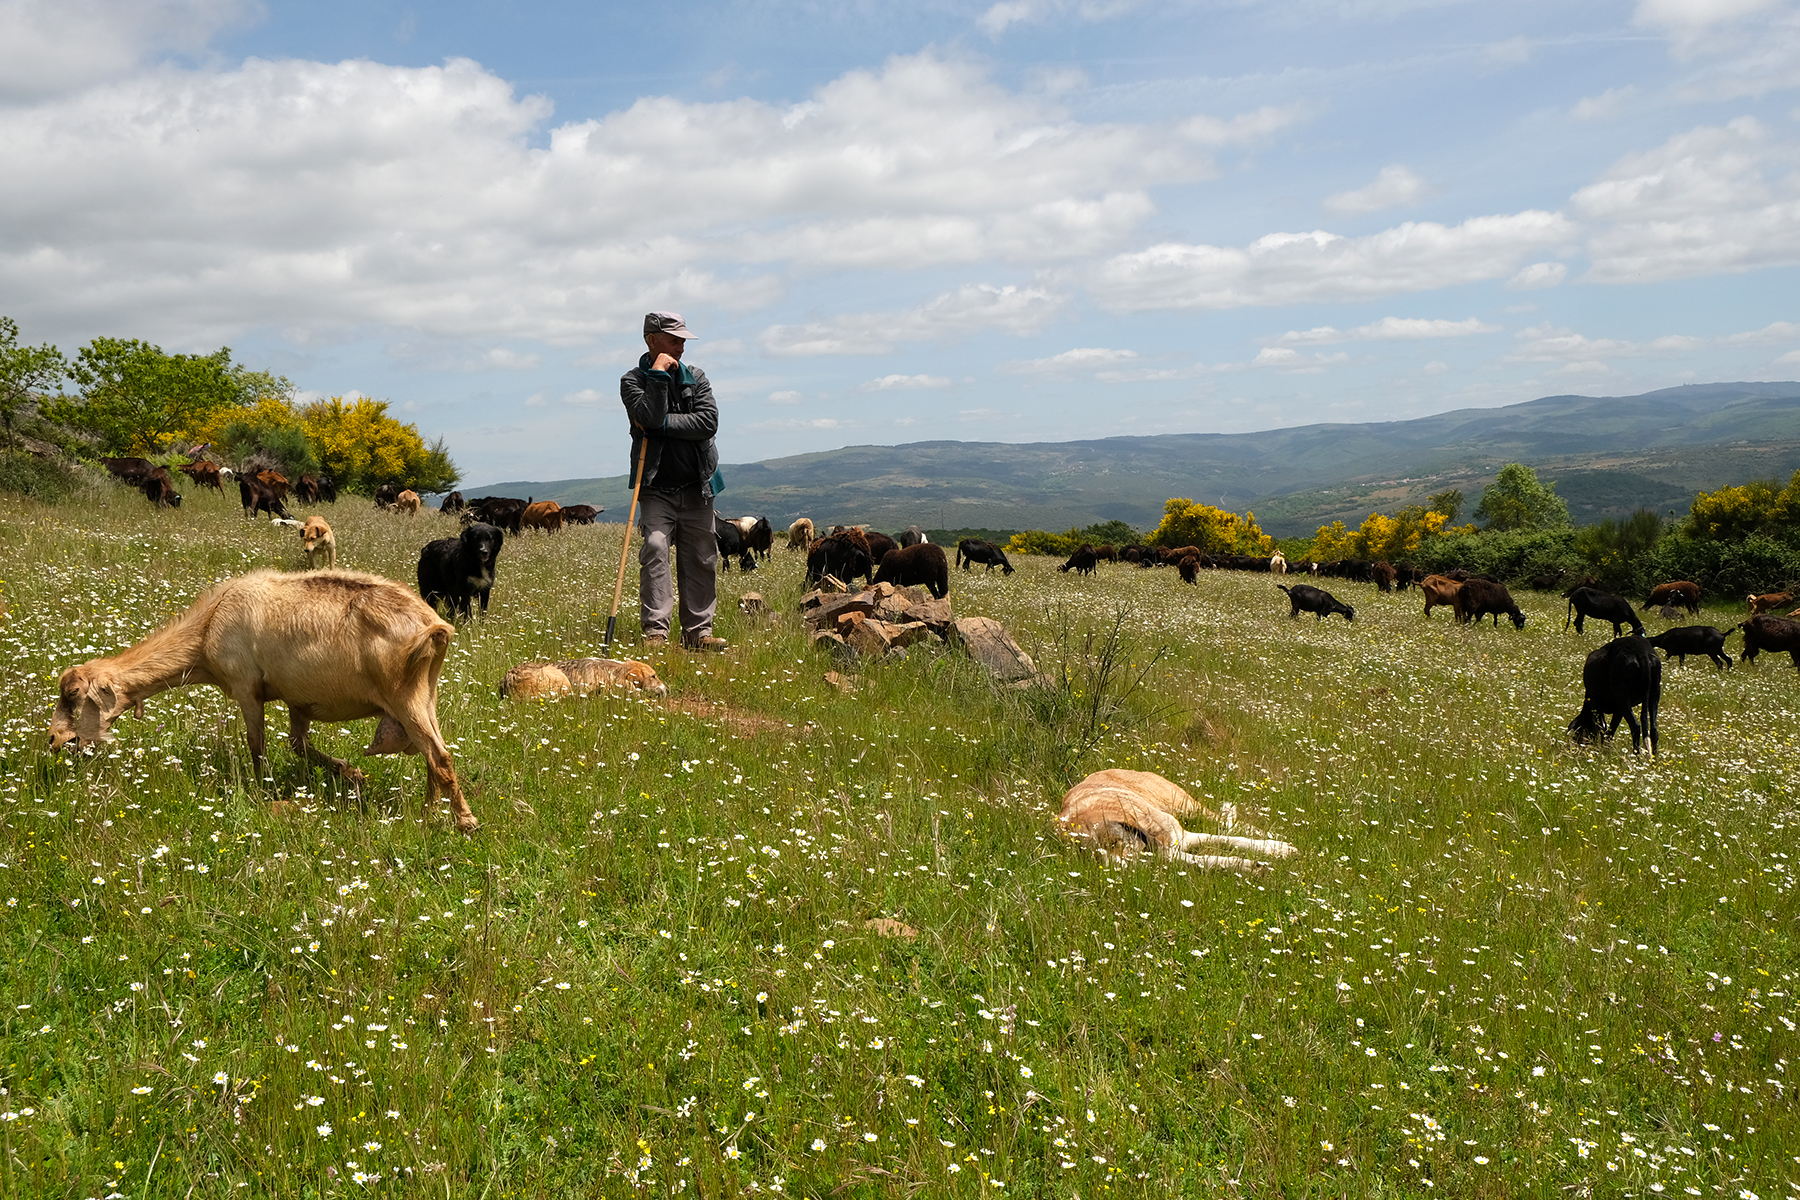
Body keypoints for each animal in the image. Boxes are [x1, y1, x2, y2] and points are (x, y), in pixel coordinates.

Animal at [49, 569, 477, 831]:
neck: (207, 628)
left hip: (403, 696)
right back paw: (425, 815)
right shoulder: (298, 700)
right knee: (434, 757)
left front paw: (262, 790)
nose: (54, 740)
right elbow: (298, 744)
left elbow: (257, 745)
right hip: (425, 696)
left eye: (73, 695)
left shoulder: (246, 687)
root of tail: (434, 626)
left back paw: (464, 823)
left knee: (439, 757)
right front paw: (351, 773)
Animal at [1058, 769, 1297, 874]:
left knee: (1224, 821)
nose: (1118, 871)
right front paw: (1245, 864)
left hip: (1186, 806)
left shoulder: (1181, 836)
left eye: (1115, 844)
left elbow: (1232, 839)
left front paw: (1277, 849)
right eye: (1095, 858)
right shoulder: (1173, 851)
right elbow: (1207, 858)